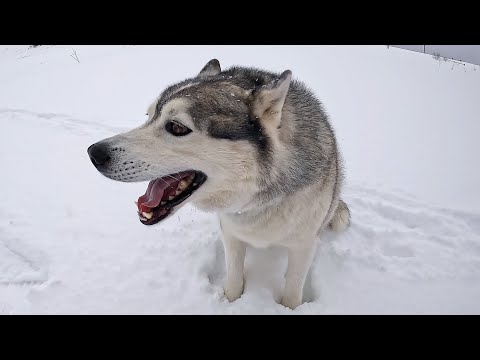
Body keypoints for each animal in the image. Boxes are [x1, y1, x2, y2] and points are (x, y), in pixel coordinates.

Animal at [87, 59, 348, 310]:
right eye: (148, 116)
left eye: (177, 127)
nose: (94, 153)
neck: (255, 203)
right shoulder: (231, 235)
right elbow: (233, 279)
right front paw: (230, 302)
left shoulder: (302, 247)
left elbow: (292, 292)